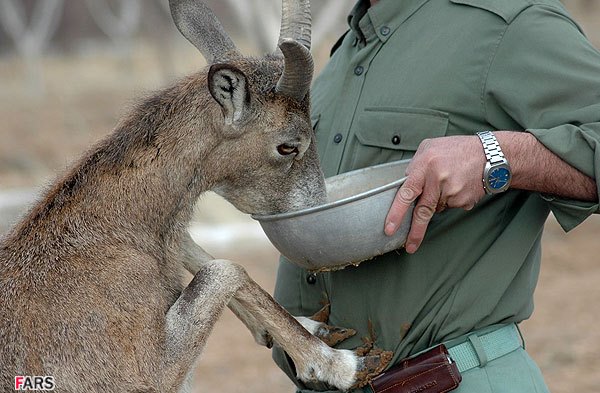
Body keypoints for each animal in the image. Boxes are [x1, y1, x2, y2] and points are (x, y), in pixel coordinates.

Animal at [0, 0, 392, 392]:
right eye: (287, 146)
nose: (317, 210)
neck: (115, 233)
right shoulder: (151, 371)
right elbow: (226, 268)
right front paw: (341, 364)